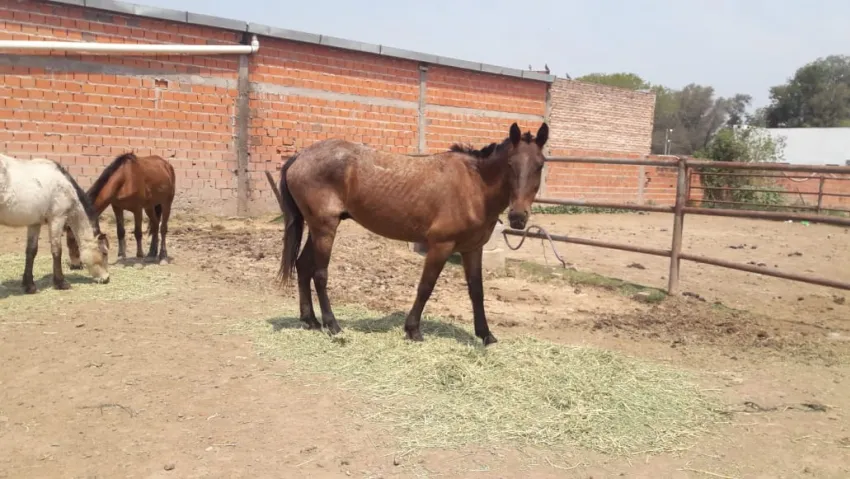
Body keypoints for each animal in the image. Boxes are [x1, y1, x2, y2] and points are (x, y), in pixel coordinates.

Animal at [0, 153, 110, 294]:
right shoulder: (57, 218)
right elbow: (57, 250)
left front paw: (29, 285)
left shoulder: (35, 223)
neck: (65, 186)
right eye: (104, 253)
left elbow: (31, 251)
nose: (107, 278)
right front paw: (61, 283)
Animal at [276, 121, 549, 346]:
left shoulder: (473, 248)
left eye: (540, 165)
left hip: (316, 227)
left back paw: (310, 320)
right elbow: (426, 286)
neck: (474, 186)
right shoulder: (441, 245)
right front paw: (413, 330)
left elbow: (476, 290)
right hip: (325, 228)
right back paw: (332, 325)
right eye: (511, 165)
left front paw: (485, 335)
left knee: (303, 267)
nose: (518, 217)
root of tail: (299, 157)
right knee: (320, 274)